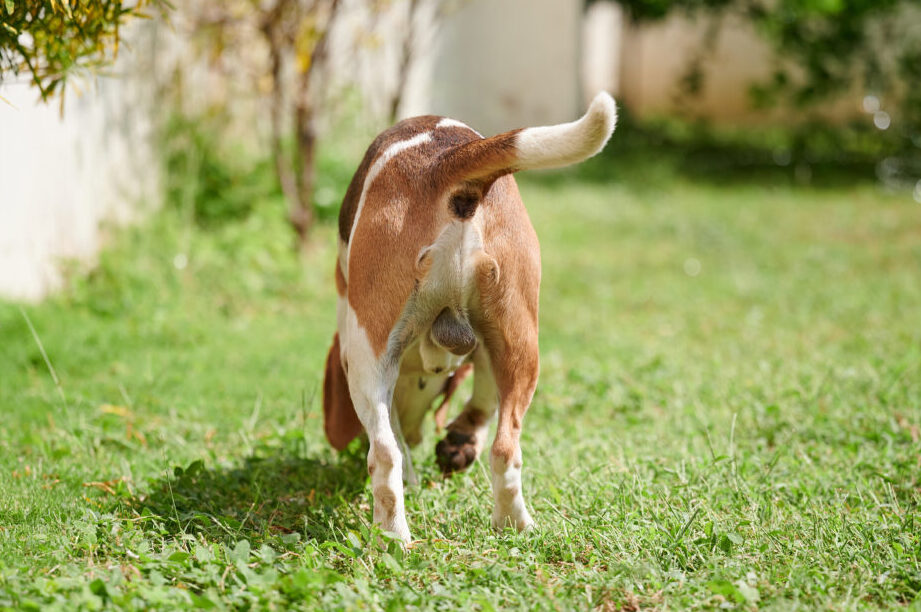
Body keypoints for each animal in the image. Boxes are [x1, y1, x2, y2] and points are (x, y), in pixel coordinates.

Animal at [322, 92, 617, 542]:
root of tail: (447, 158)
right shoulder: (486, 348)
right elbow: (482, 403)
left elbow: (396, 440)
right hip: (519, 341)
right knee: (505, 448)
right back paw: (514, 523)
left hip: (365, 355)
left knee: (386, 454)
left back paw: (393, 537)